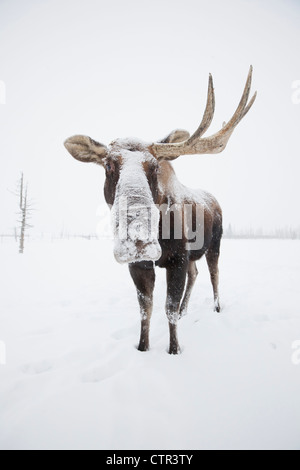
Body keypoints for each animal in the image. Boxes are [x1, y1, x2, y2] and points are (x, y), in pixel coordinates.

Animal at [63, 65, 255, 352]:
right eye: (108, 165)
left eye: (154, 167)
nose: (137, 238)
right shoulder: (140, 264)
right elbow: (146, 309)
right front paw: (142, 347)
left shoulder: (178, 258)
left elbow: (169, 308)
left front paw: (174, 349)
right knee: (196, 274)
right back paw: (188, 309)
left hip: (215, 244)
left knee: (214, 274)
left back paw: (217, 307)